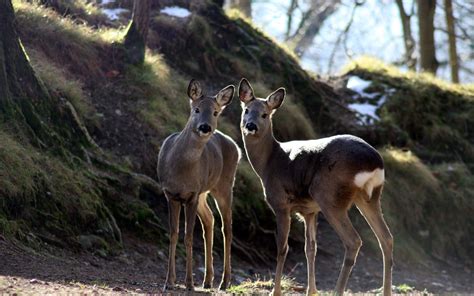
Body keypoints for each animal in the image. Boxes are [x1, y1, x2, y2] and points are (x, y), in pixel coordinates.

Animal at [158, 79, 241, 292]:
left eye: (216, 112)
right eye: (196, 109)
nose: (205, 127)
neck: (181, 171)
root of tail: (236, 146)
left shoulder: (192, 195)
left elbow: (188, 237)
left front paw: (188, 283)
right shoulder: (171, 194)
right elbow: (173, 234)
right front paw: (169, 281)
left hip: (225, 185)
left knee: (227, 227)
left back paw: (224, 282)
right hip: (205, 191)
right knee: (210, 219)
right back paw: (208, 279)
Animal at [239, 78, 394, 296]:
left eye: (265, 114)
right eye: (246, 110)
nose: (250, 125)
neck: (269, 163)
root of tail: (374, 162)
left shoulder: (281, 203)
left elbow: (282, 248)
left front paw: (275, 291)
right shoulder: (309, 211)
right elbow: (310, 249)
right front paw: (311, 290)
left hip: (330, 195)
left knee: (353, 241)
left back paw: (338, 291)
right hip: (369, 197)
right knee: (386, 239)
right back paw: (386, 290)